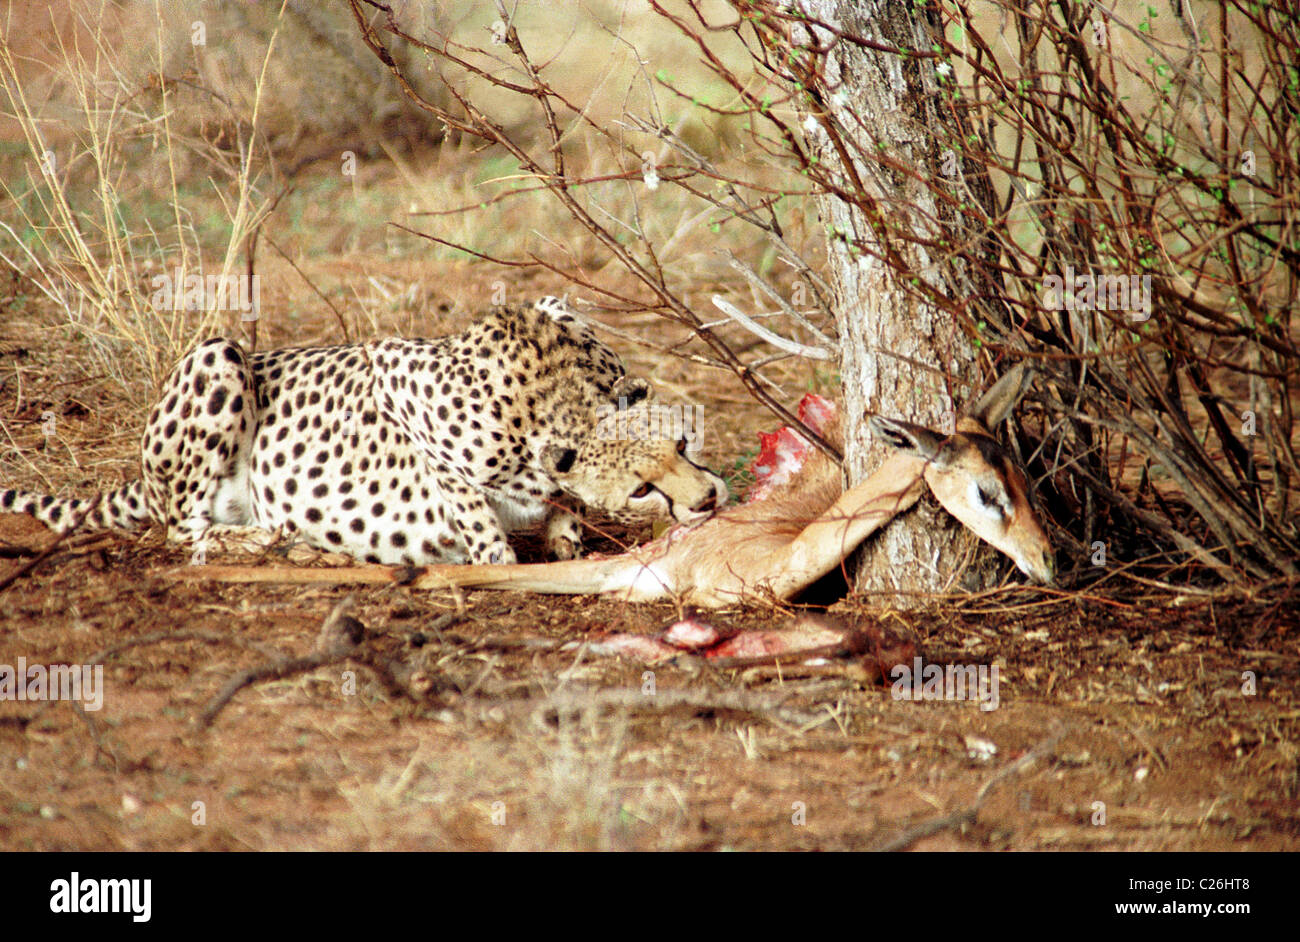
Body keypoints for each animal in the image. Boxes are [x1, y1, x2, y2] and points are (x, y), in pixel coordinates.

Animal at [0, 297, 728, 561]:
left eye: (684, 445)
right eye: (641, 490)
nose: (709, 500)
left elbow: (557, 508)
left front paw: (564, 530)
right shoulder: (398, 373)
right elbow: (485, 530)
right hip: (218, 355)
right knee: (186, 530)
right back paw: (272, 538)